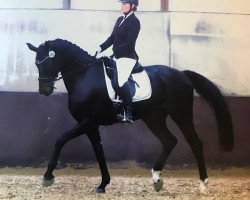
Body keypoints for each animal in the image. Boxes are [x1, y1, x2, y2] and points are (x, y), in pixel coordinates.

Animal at [27, 39, 234, 194]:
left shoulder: (88, 121)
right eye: (36, 63)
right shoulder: (90, 125)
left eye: (47, 62)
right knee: (169, 141)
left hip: (181, 115)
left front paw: (47, 177)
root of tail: (182, 74)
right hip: (154, 118)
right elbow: (99, 151)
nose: (44, 90)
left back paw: (202, 184)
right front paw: (103, 184)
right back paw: (156, 179)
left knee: (195, 143)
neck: (84, 76)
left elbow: (61, 139)